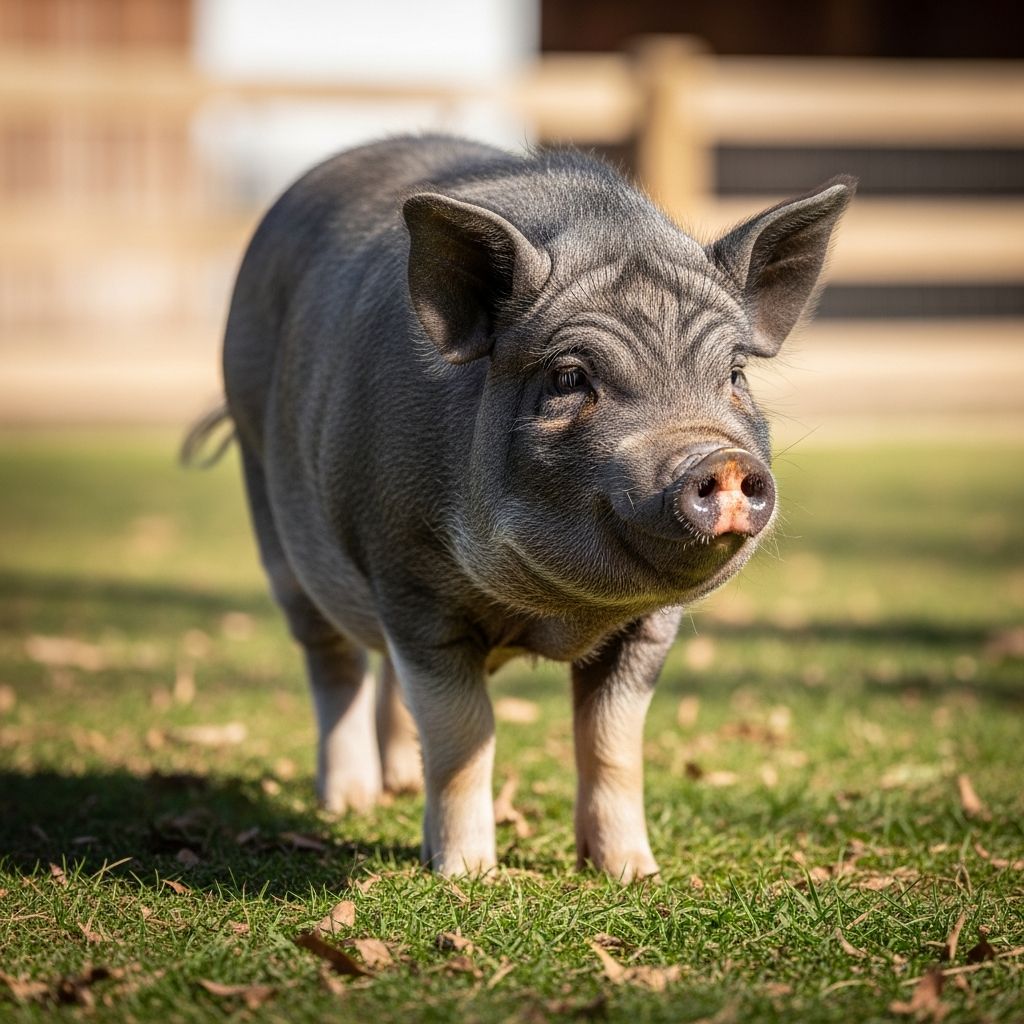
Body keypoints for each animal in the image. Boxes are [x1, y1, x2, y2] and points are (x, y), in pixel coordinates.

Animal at [209, 134, 854, 880]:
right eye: (570, 377)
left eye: (736, 375)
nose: (717, 459)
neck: (559, 611)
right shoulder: (409, 577)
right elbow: (464, 734)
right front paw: (466, 874)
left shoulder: (650, 627)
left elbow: (612, 740)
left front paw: (633, 873)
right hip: (274, 520)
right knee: (332, 660)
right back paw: (349, 805)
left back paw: (398, 786)